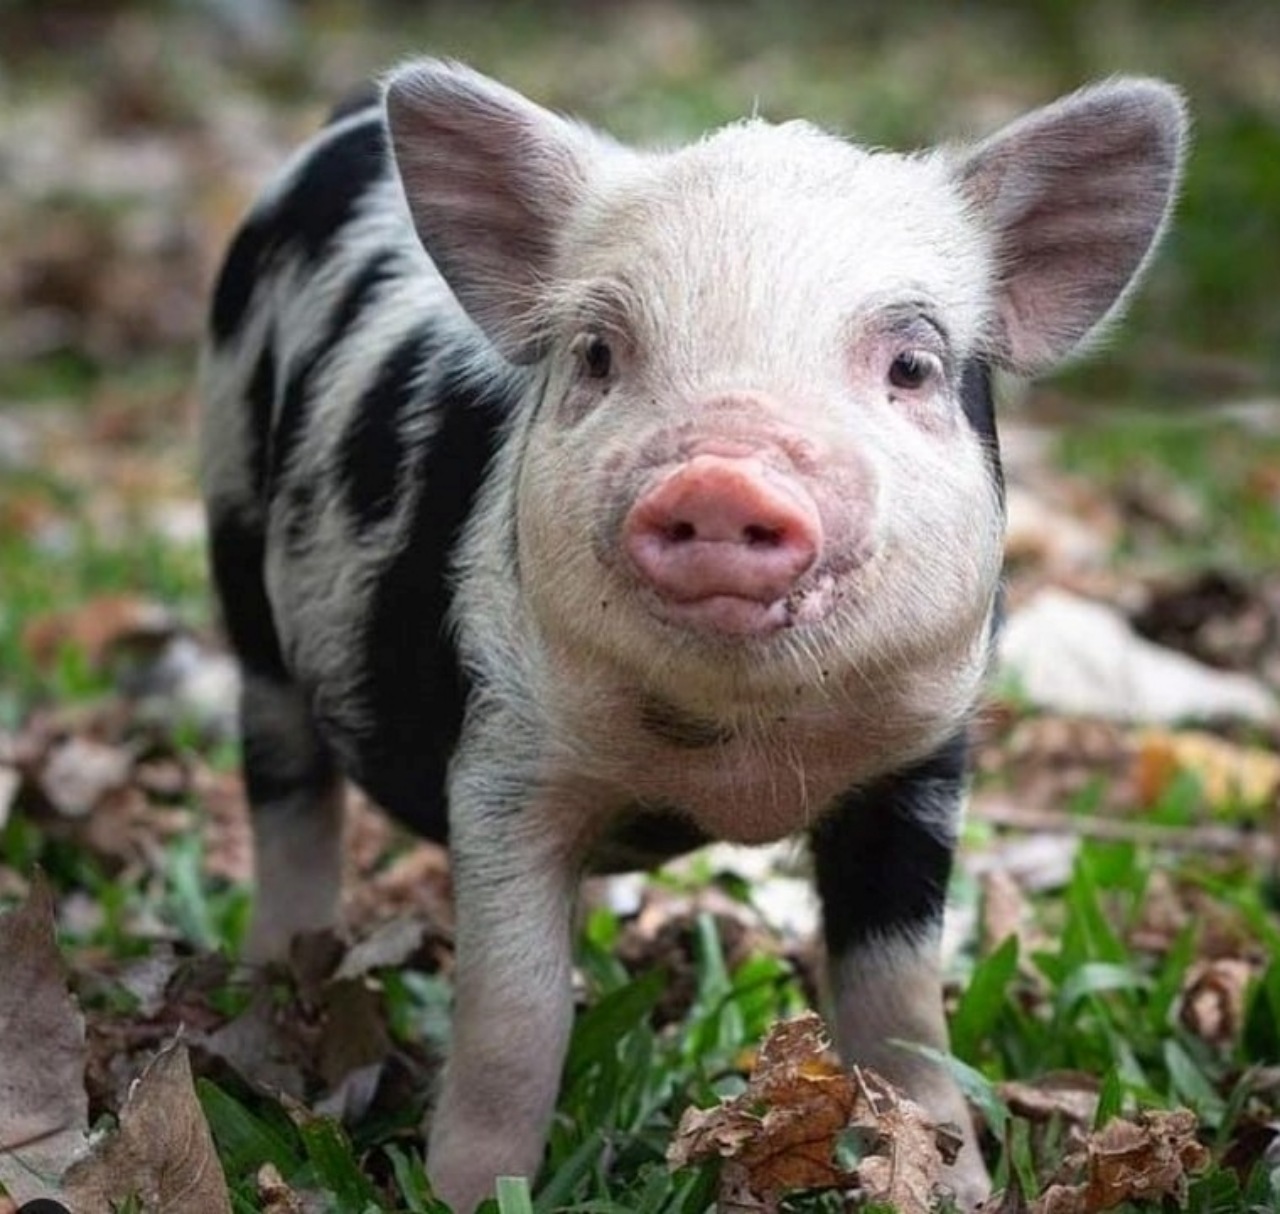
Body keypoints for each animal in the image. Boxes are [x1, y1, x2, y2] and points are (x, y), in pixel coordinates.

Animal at [202, 64, 1187, 1214]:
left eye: (910, 363)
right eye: (596, 352)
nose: (721, 475)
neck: (737, 757)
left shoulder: (922, 758)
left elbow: (898, 999)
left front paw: (955, 1184)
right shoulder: (504, 756)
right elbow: (514, 1017)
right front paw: (465, 1191)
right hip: (236, 536)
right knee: (285, 786)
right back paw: (272, 977)